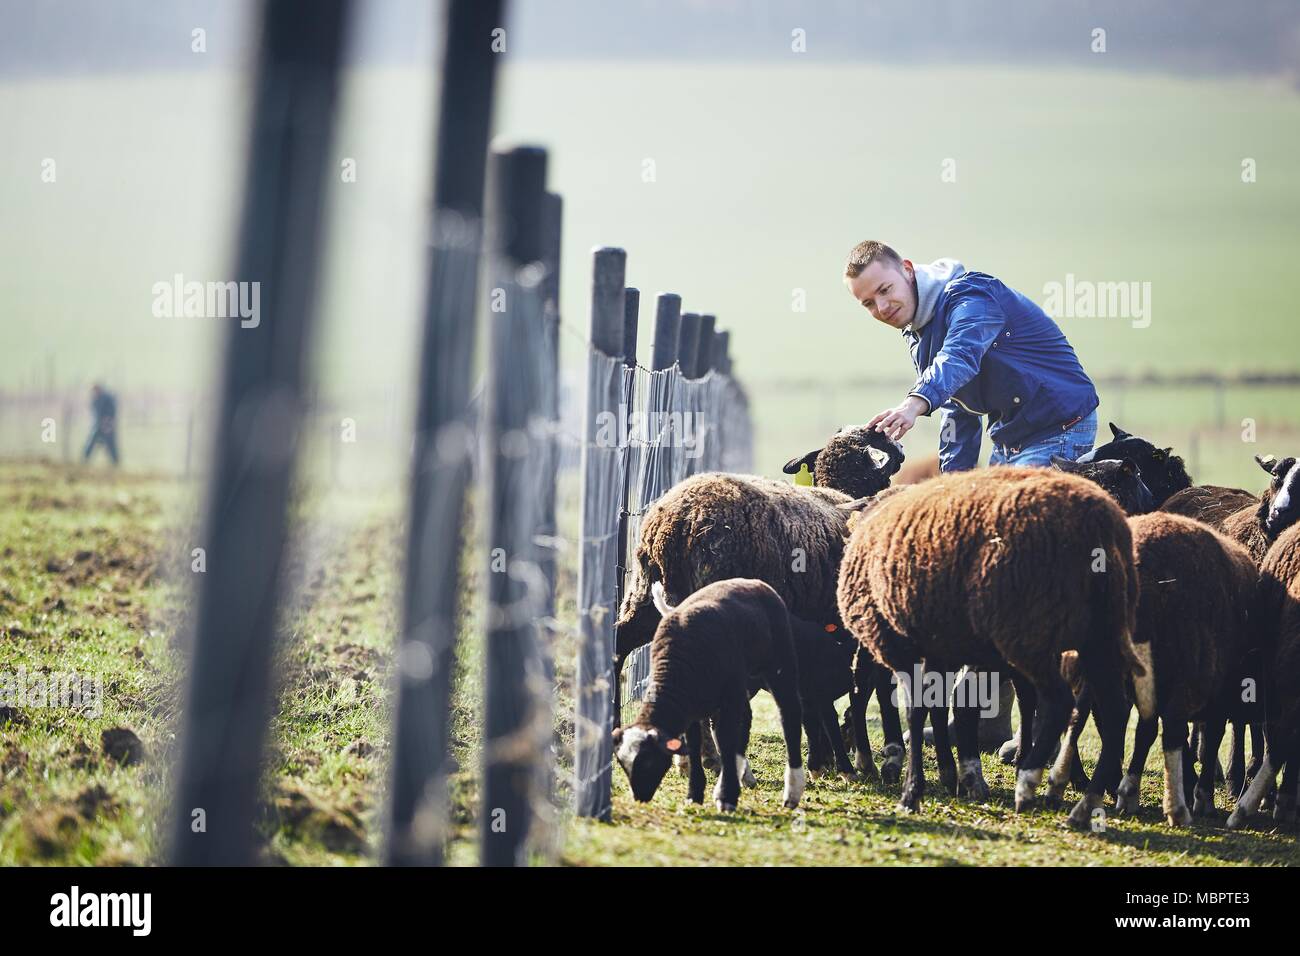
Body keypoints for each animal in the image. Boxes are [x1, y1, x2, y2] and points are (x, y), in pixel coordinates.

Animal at [608, 580, 800, 811]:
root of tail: (753, 582)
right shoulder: (691, 707)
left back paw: (792, 792)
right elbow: (694, 745)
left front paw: (727, 796)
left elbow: (726, 740)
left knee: (789, 717)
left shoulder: (728, 698)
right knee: (744, 724)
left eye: (648, 760)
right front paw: (695, 793)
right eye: (622, 763)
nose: (640, 796)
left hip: (779, 667)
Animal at [832, 468, 1149, 827]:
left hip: (1029, 632)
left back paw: (1028, 782)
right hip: (1099, 636)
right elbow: (938, 705)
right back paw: (1084, 802)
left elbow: (916, 710)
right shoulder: (940, 646)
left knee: (1058, 702)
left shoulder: (904, 645)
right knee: (1113, 709)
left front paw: (913, 791)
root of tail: (1100, 525)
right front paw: (949, 774)